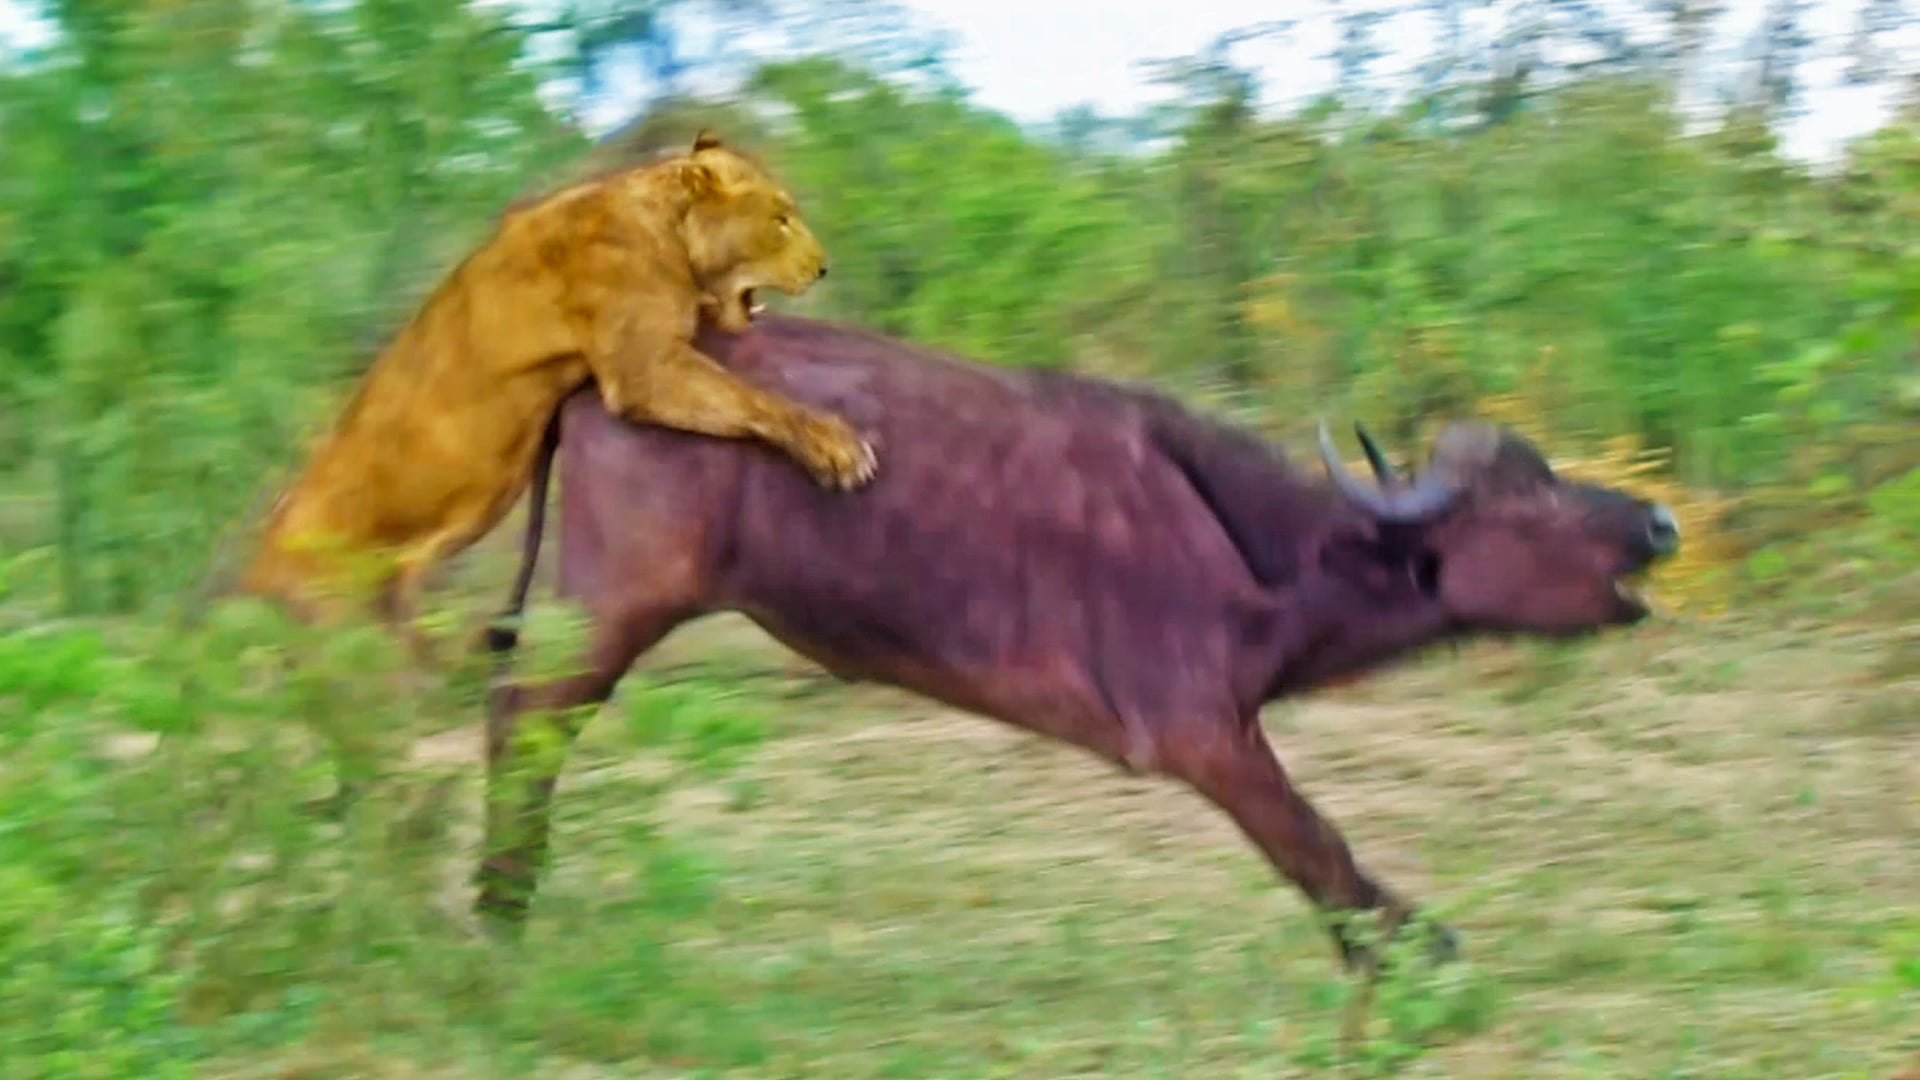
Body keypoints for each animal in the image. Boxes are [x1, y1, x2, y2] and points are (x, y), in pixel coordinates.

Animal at [236, 131, 877, 660]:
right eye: (781, 218)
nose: (824, 268)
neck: (665, 222)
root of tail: (253, 565)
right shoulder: (643, 368)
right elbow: (752, 400)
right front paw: (838, 449)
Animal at [476, 314, 1681, 967]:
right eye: (1525, 504)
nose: (1658, 524)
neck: (1257, 552)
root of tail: (597, 370)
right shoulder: (1204, 735)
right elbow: (1320, 849)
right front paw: (1413, 956)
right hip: (613, 608)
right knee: (524, 725)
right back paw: (497, 910)